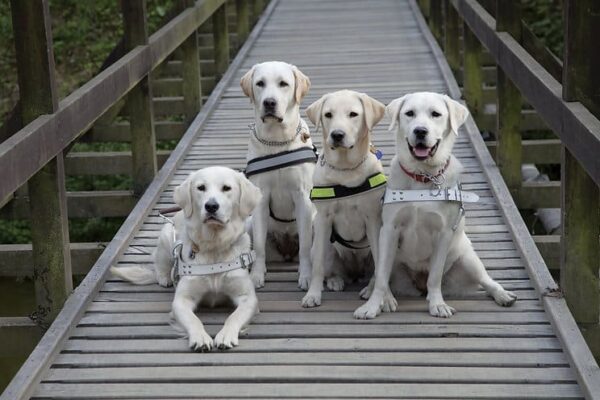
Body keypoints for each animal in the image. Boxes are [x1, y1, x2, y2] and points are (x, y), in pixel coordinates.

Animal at [111, 167, 262, 352]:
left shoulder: (247, 297)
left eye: (227, 188)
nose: (211, 206)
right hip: (166, 234)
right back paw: (165, 277)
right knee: (160, 263)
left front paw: (226, 335)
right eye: (201, 187)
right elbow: (193, 320)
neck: (214, 245)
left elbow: (234, 316)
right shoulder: (182, 299)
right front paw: (200, 338)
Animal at [240, 61, 316, 290]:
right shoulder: (260, 198)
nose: (269, 103)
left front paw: (306, 276)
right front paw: (256, 276)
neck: (277, 142)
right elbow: (259, 248)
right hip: (249, 225)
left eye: (283, 84)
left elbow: (305, 246)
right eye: (260, 83)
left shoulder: (303, 197)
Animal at [300, 90, 390, 308]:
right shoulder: (323, 219)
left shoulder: (372, 218)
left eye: (353, 114)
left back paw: (368, 289)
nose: (337, 135)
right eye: (328, 115)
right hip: (325, 246)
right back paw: (335, 281)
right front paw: (313, 295)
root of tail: (354, 272)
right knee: (328, 267)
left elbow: (380, 262)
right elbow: (317, 267)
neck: (346, 169)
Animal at [356, 92, 516, 320]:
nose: (420, 131)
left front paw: (438, 304)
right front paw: (372, 306)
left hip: (468, 259)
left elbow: (435, 276)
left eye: (436, 114)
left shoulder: (444, 233)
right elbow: (381, 276)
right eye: (409, 113)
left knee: (486, 280)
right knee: (378, 274)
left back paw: (503, 294)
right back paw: (370, 289)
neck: (423, 176)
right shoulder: (389, 230)